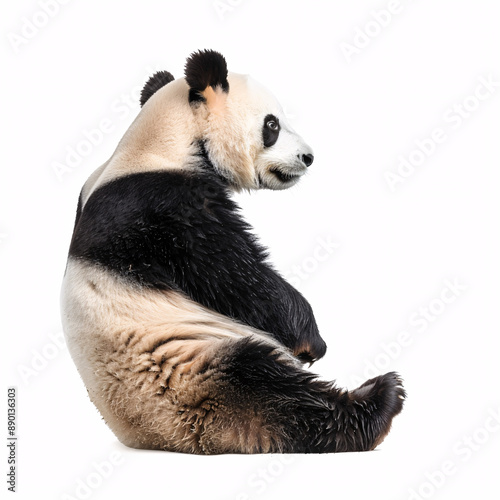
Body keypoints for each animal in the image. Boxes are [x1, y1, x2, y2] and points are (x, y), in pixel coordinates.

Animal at [61, 49, 406, 454]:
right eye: (272, 124)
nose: (308, 157)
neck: (158, 143)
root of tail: (170, 439)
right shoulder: (166, 206)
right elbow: (236, 274)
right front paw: (311, 339)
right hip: (189, 365)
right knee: (273, 391)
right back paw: (379, 399)